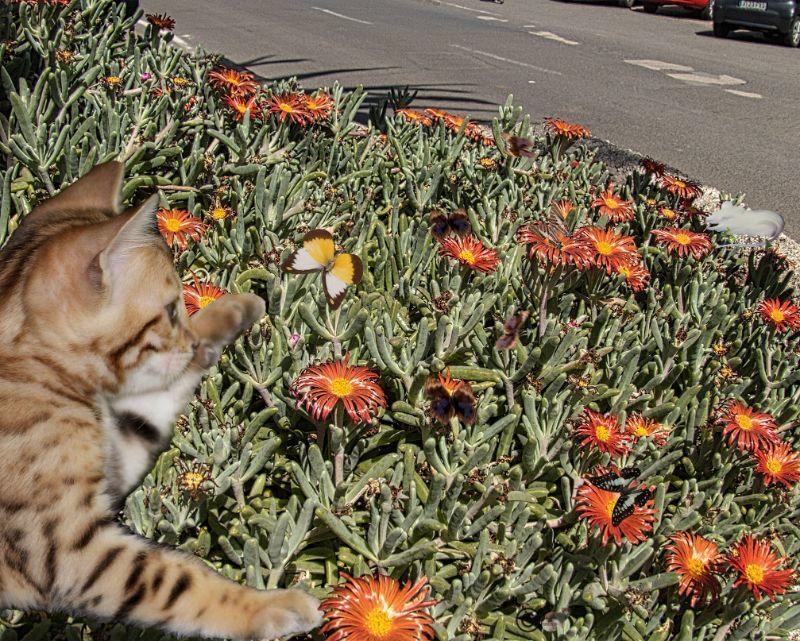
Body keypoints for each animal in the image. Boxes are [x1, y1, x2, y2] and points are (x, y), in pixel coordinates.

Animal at [0, 164, 324, 640]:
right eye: (171, 310)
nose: (187, 340)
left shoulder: (115, 462)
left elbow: (159, 400)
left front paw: (228, 310)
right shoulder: (68, 549)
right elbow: (177, 579)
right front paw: (266, 607)